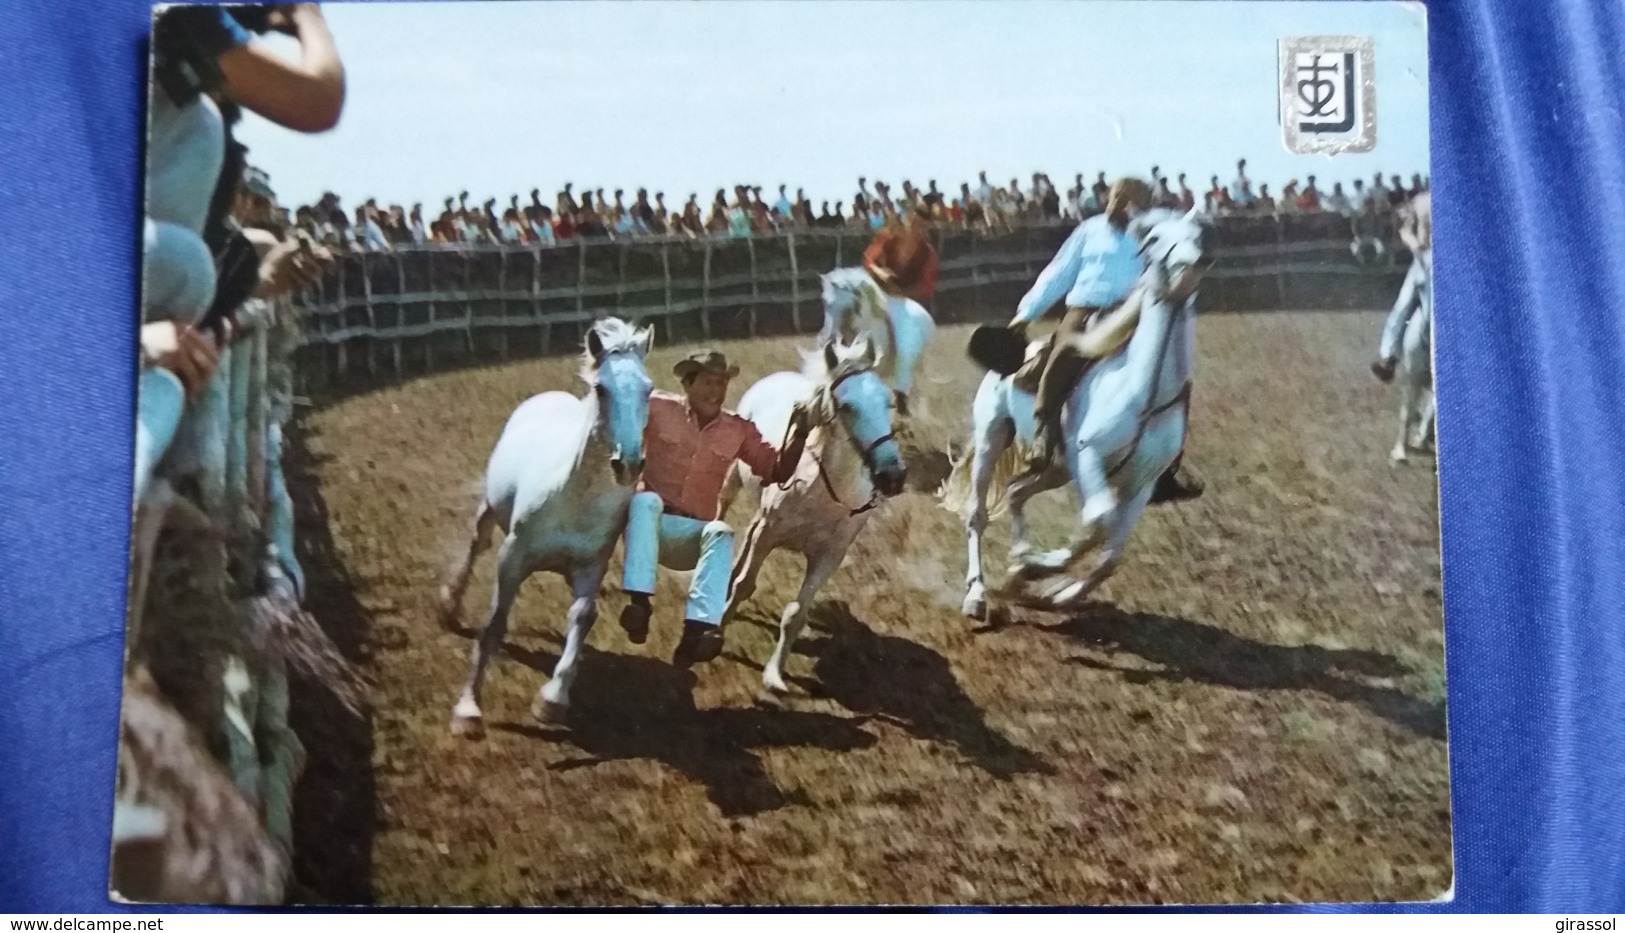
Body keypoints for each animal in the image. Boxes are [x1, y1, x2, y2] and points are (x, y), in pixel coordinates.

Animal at [442, 318, 656, 734]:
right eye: (602, 388)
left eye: (648, 389)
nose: (629, 464)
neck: (571, 497)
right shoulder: (513, 557)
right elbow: (494, 623)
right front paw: (468, 711)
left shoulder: (591, 565)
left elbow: (583, 616)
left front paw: (552, 702)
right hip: (489, 510)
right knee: (477, 543)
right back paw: (449, 605)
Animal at [718, 336, 910, 695]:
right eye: (846, 405)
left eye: (887, 403)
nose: (893, 476)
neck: (821, 493)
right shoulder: (769, 536)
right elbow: (744, 586)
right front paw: (714, 634)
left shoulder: (828, 557)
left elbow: (795, 614)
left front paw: (774, 675)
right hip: (733, 480)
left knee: (749, 530)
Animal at [942, 209, 1209, 624]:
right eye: (1153, 239)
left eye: (1199, 233)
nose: (1191, 265)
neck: (1144, 394)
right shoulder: (1088, 459)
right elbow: (1095, 525)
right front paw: (1035, 569)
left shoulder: (1143, 484)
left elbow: (1110, 557)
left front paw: (1048, 589)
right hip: (992, 437)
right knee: (977, 514)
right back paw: (978, 594)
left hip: (1056, 468)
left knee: (1017, 493)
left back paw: (1018, 565)